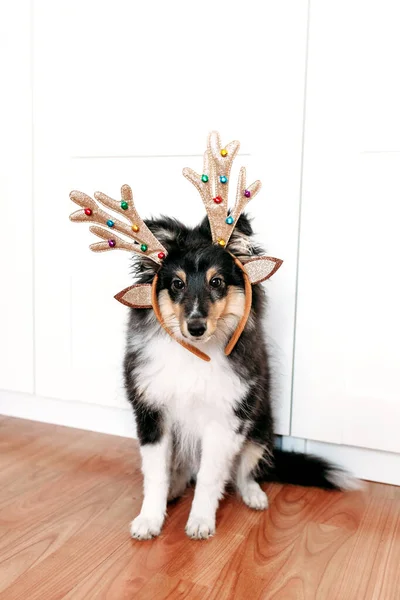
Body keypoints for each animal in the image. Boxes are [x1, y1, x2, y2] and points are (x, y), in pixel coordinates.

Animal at [124, 212, 354, 540]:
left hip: (260, 429)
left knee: (244, 472)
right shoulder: (152, 414)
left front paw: (200, 522)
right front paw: (149, 520)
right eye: (177, 284)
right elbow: (156, 473)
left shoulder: (227, 418)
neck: (196, 353)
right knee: (182, 470)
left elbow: (209, 477)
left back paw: (254, 496)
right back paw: (176, 488)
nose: (196, 328)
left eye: (217, 282)